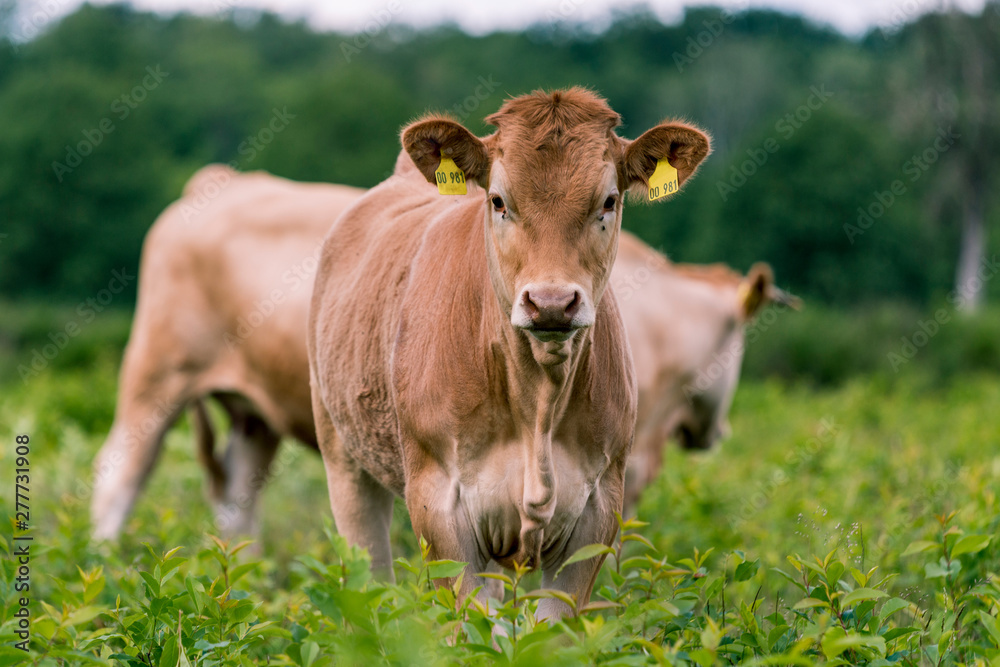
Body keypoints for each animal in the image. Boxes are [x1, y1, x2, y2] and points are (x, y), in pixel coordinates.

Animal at [90, 166, 364, 544]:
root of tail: (226, 179)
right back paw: (103, 557)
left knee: (237, 498)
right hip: (158, 372)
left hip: (254, 412)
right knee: (119, 476)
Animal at [308, 86, 708, 620]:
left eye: (608, 200)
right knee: (368, 575)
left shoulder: (600, 506)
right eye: (499, 200)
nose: (552, 302)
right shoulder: (439, 503)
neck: (538, 400)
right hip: (343, 456)